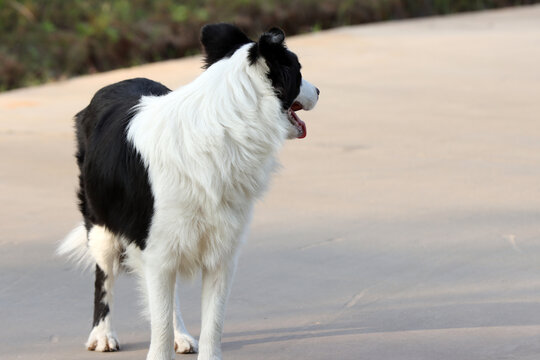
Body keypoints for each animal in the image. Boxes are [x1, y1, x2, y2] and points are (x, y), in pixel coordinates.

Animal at [58, 23, 320, 360]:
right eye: (298, 70)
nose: (319, 91)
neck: (227, 126)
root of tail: (112, 85)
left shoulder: (220, 253)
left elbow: (212, 325)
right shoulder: (156, 249)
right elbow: (158, 327)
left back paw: (180, 334)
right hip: (101, 226)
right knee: (104, 277)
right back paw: (102, 334)